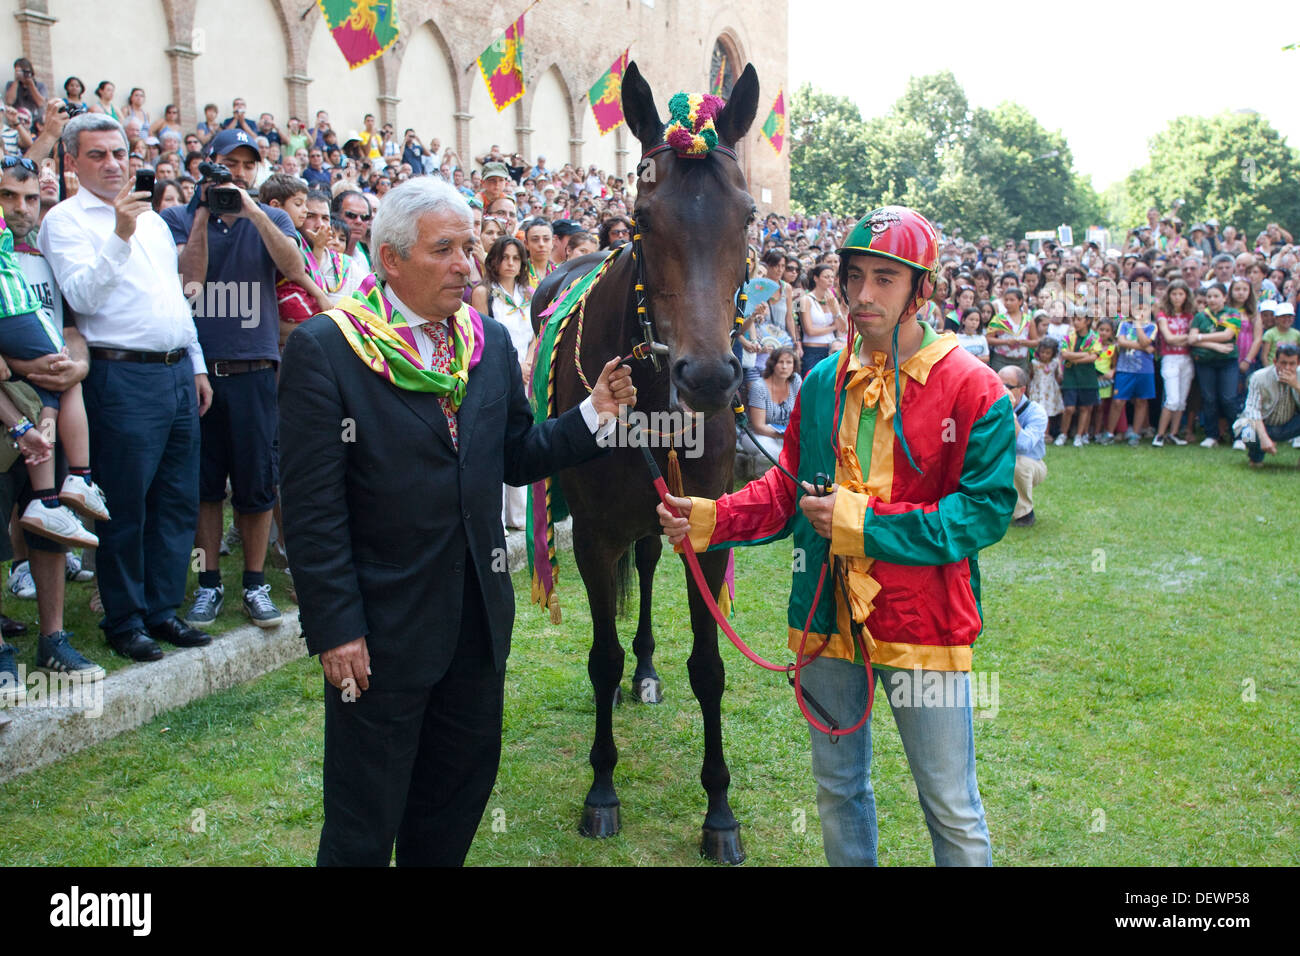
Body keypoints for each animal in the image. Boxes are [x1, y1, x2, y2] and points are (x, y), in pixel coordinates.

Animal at [529, 61, 760, 864]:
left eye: (747, 217)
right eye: (641, 220)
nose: (710, 377)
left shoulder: (707, 526)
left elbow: (710, 666)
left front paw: (720, 810)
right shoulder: (595, 536)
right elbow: (598, 660)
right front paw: (602, 792)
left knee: (655, 562)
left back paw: (649, 668)